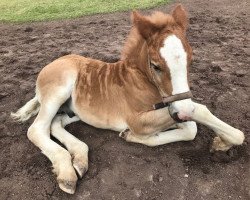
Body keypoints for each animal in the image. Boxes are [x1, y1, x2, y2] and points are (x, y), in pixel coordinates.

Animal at [10, 4, 245, 194]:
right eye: (156, 66)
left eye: (191, 60)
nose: (183, 111)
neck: (140, 79)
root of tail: (51, 64)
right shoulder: (138, 119)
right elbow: (198, 113)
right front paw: (132, 135)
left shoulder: (171, 107)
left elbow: (190, 127)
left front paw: (221, 142)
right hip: (58, 93)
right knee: (37, 129)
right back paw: (66, 171)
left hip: (75, 111)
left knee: (56, 124)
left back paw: (79, 158)